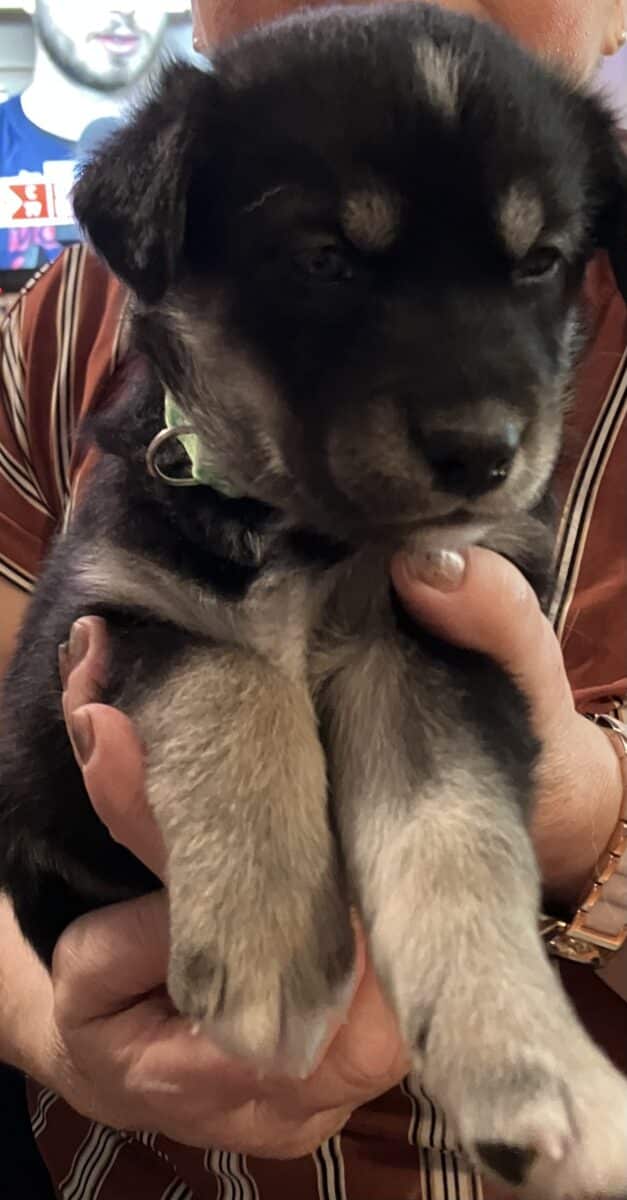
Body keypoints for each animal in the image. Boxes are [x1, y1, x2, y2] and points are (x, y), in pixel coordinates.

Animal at [1, 4, 624, 1195]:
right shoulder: (102, 626)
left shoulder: (444, 638)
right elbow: (236, 678)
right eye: (327, 259)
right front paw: (271, 947)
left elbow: (458, 832)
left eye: (539, 262)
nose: (483, 455)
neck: (309, 536)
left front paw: (526, 1064)